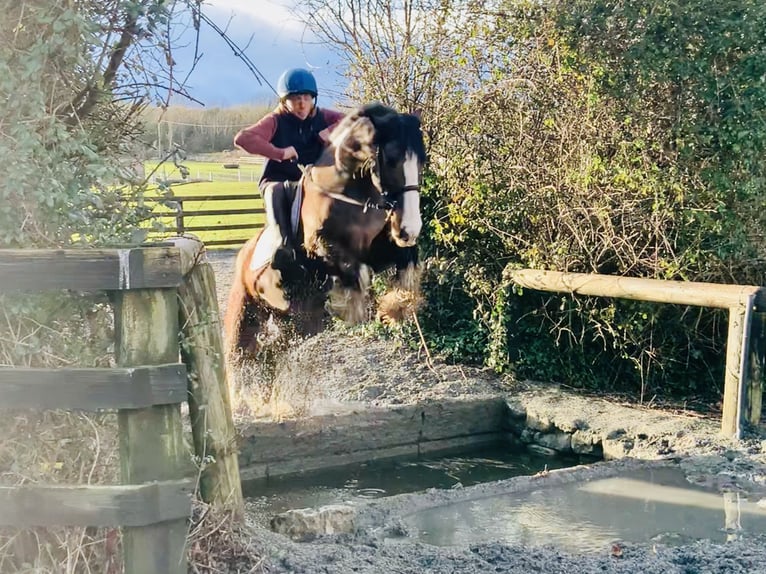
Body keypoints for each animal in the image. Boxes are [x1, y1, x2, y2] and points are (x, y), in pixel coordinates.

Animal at [225, 102, 428, 364]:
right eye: (392, 160)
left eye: (422, 162)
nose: (409, 230)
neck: (346, 196)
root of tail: (244, 254)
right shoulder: (322, 247)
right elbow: (357, 276)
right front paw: (350, 315)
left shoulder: (377, 251)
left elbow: (406, 263)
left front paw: (392, 311)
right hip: (244, 312)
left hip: (287, 315)